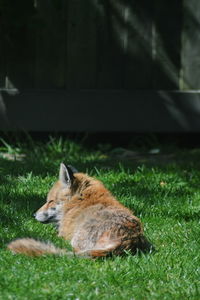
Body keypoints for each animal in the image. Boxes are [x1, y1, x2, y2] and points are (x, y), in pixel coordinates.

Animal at [7, 163, 152, 258]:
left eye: (50, 201)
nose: (34, 214)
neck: (78, 201)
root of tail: (126, 240)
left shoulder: (63, 233)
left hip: (74, 241)